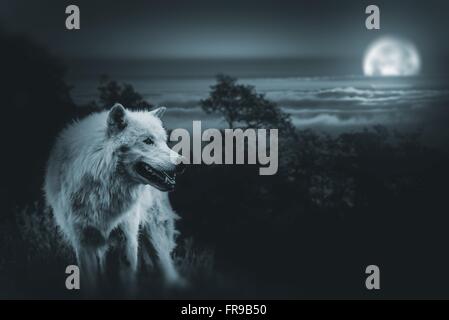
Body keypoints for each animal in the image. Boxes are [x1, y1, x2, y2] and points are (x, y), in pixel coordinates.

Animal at [44, 104, 185, 292]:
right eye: (148, 141)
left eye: (164, 141)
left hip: (155, 238)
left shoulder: (128, 241)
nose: (183, 163)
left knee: (166, 271)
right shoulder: (83, 244)